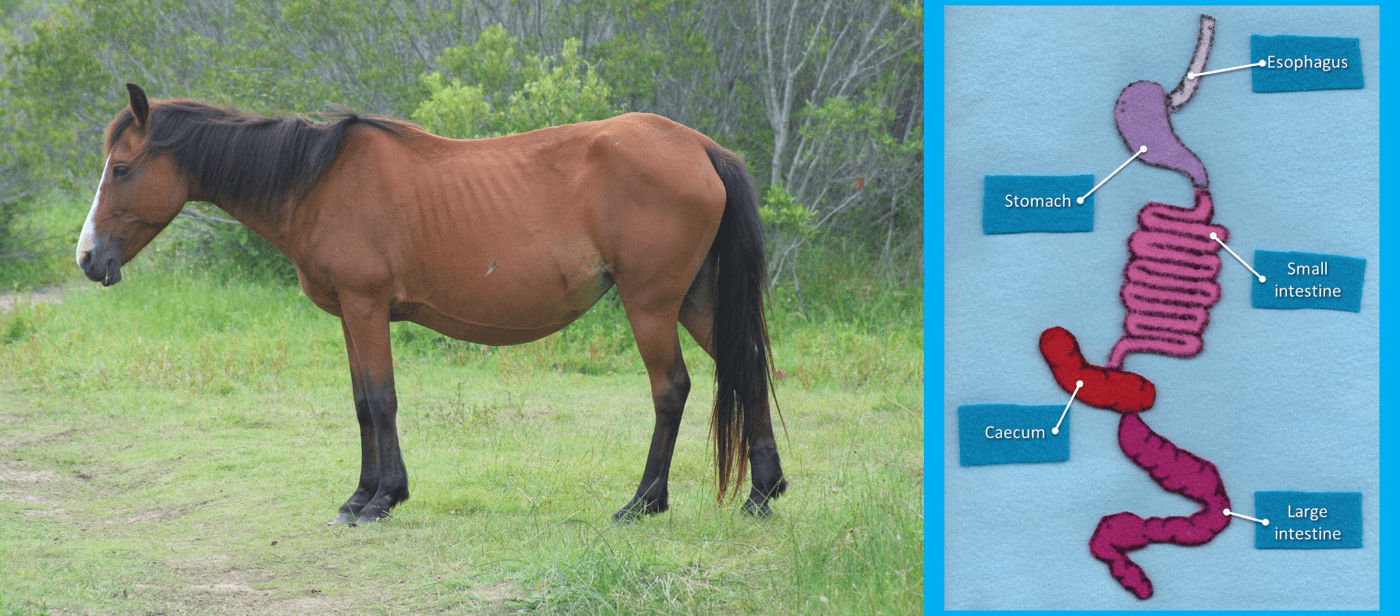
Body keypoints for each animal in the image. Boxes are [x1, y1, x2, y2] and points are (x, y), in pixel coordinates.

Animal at [79, 82, 789, 523]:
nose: (88, 258)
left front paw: (379, 501)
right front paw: (364, 494)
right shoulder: (351, 316)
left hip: (651, 306)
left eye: (122, 168)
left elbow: (380, 400)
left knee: (671, 389)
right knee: (747, 368)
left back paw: (643, 502)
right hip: (695, 300)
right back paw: (762, 493)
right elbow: (361, 402)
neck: (317, 181)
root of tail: (699, 147)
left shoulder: (366, 307)